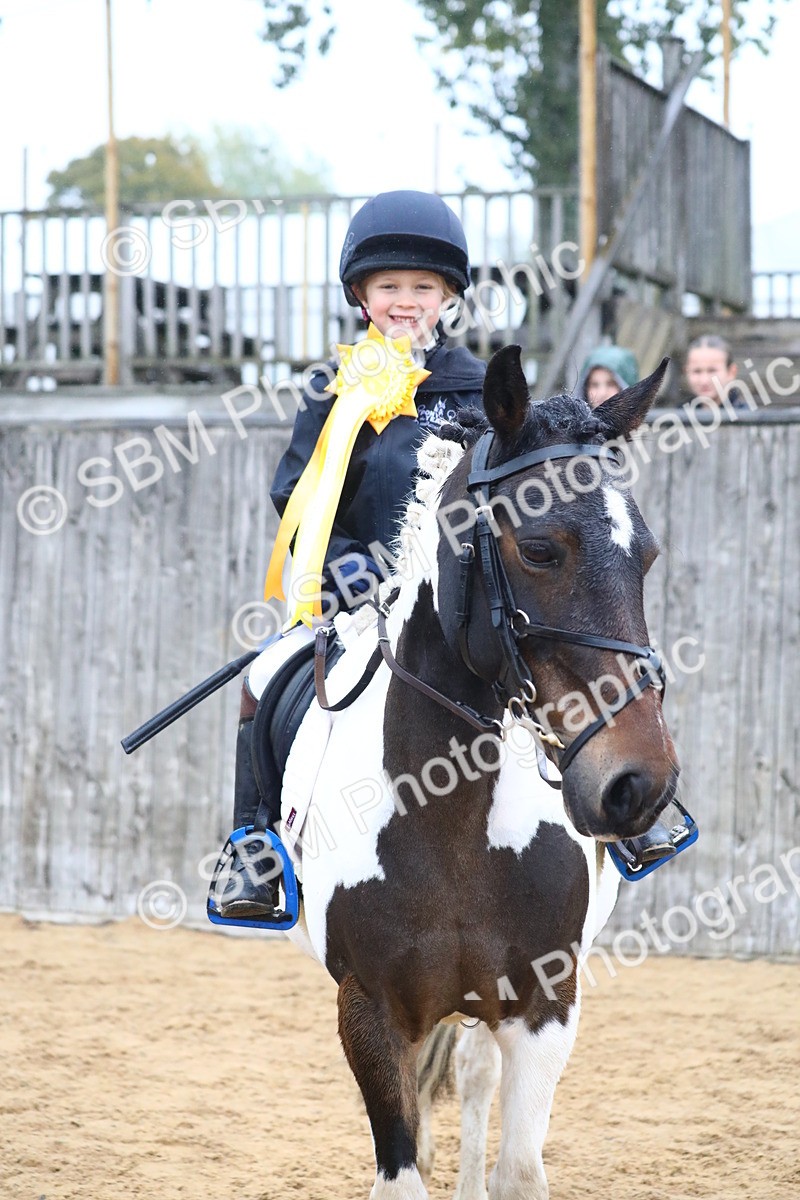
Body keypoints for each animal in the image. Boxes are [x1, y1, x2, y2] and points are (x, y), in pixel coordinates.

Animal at [278, 344, 678, 1199]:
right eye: (540, 548)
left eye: (647, 554)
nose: (639, 783)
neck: (448, 814)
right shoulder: (369, 1011)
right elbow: (399, 1172)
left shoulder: (546, 1005)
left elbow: (519, 1169)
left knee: (472, 1078)